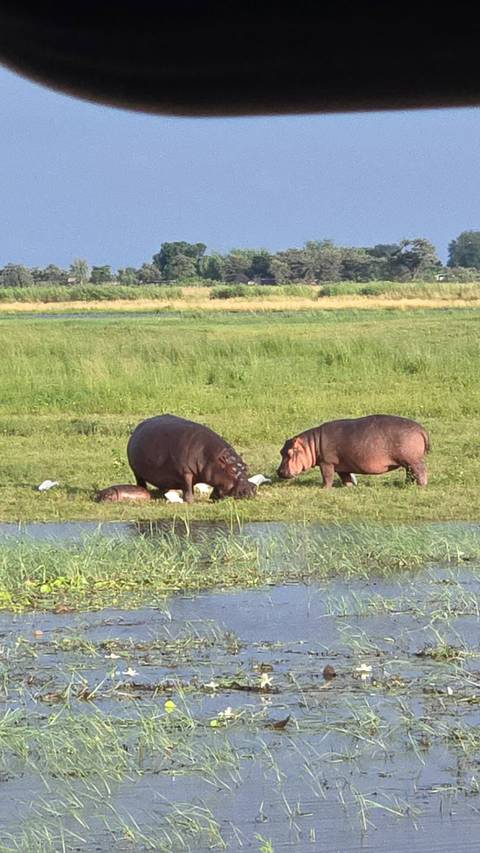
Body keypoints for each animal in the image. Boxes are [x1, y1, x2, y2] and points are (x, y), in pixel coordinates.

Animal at [127, 414, 256, 503]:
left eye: (246, 467)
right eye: (232, 471)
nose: (251, 488)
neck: (213, 458)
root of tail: (138, 427)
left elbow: (216, 485)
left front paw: (214, 498)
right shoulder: (186, 472)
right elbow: (188, 487)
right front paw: (189, 501)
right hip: (135, 471)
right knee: (140, 481)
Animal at [278, 414, 430, 488]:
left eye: (289, 453)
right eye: (281, 451)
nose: (278, 472)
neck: (311, 444)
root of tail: (421, 429)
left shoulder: (326, 462)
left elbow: (327, 477)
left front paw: (324, 489)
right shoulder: (342, 466)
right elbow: (346, 478)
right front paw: (349, 487)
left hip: (413, 460)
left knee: (420, 471)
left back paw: (421, 486)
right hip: (408, 462)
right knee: (410, 474)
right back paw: (407, 484)